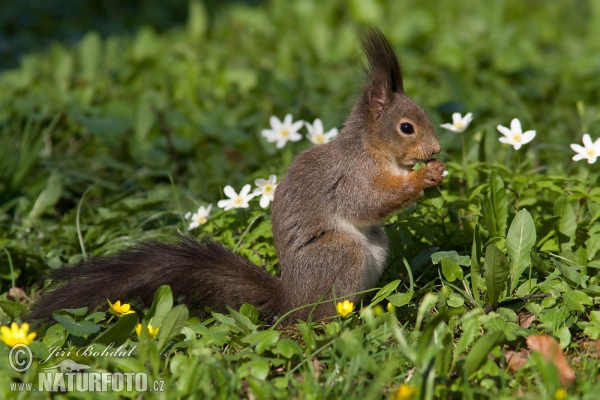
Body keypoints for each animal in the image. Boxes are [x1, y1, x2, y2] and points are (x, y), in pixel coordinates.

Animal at [25, 30, 442, 324]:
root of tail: (292, 300)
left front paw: (434, 173)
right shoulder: (350, 177)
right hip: (341, 255)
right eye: (406, 127)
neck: (373, 149)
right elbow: (369, 202)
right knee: (323, 314)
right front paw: (422, 178)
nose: (436, 149)